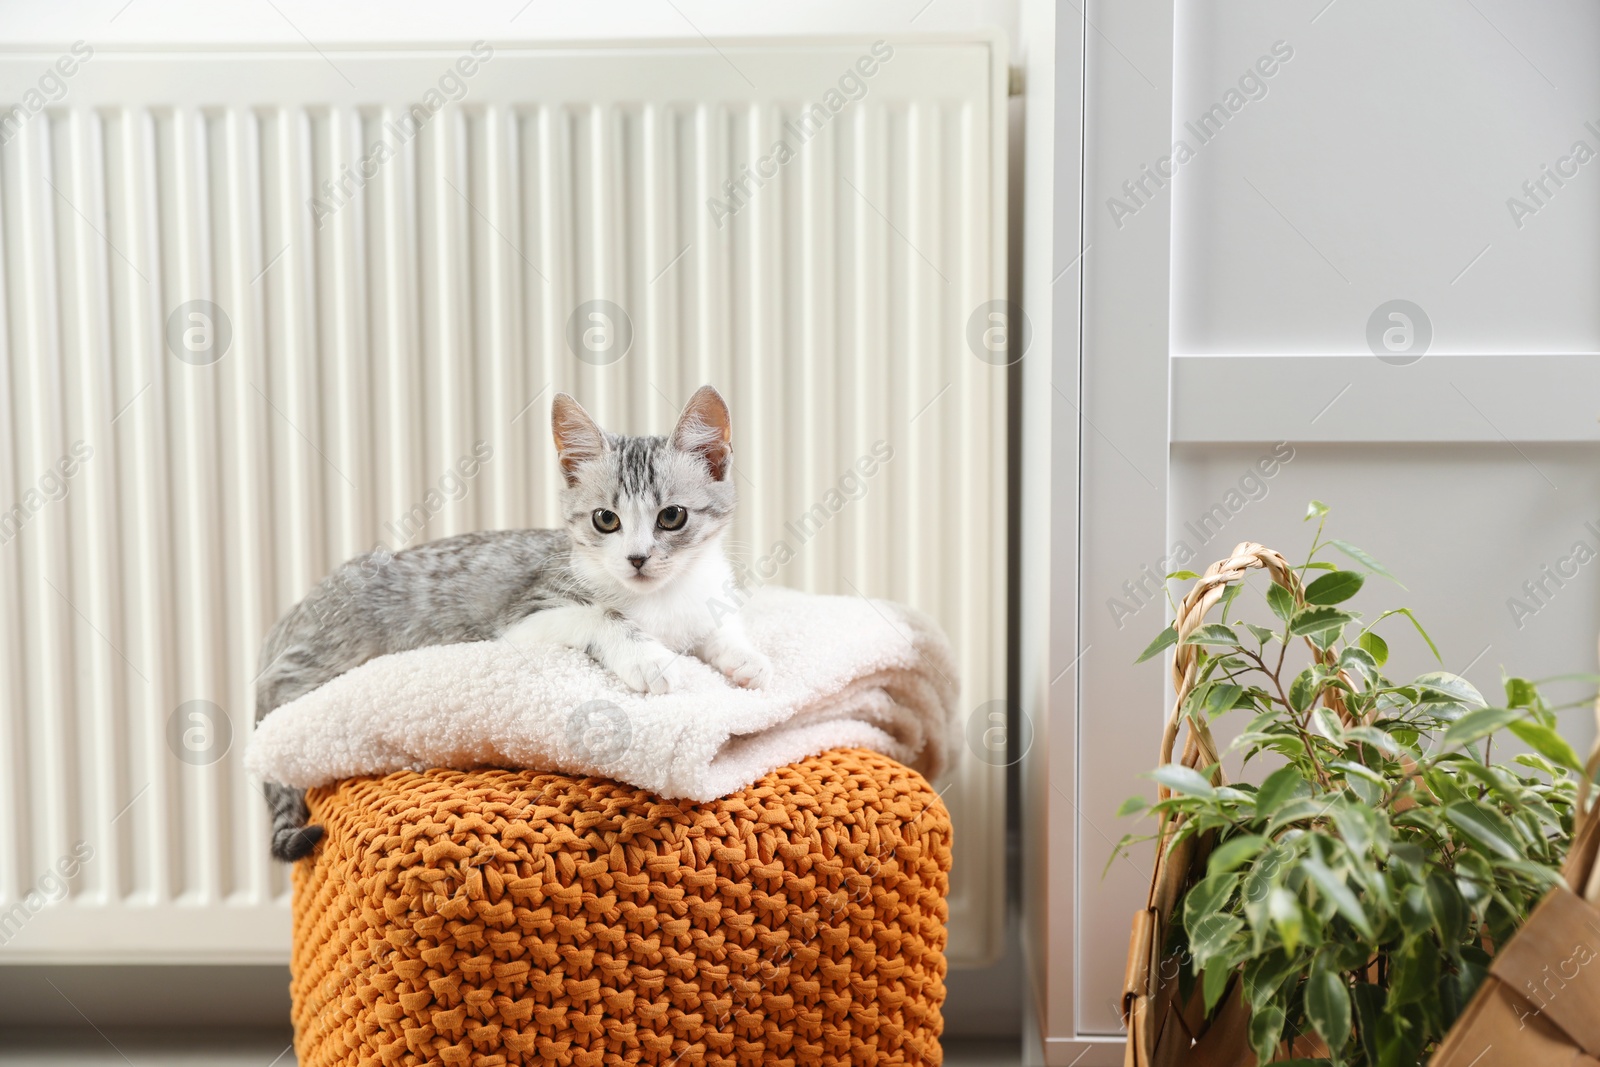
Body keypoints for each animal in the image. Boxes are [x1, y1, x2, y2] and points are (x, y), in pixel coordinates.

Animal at [254, 388, 768, 863]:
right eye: (606, 520)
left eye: (672, 516)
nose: (637, 558)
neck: (662, 598)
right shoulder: (525, 615)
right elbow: (601, 614)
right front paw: (649, 658)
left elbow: (716, 627)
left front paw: (746, 659)